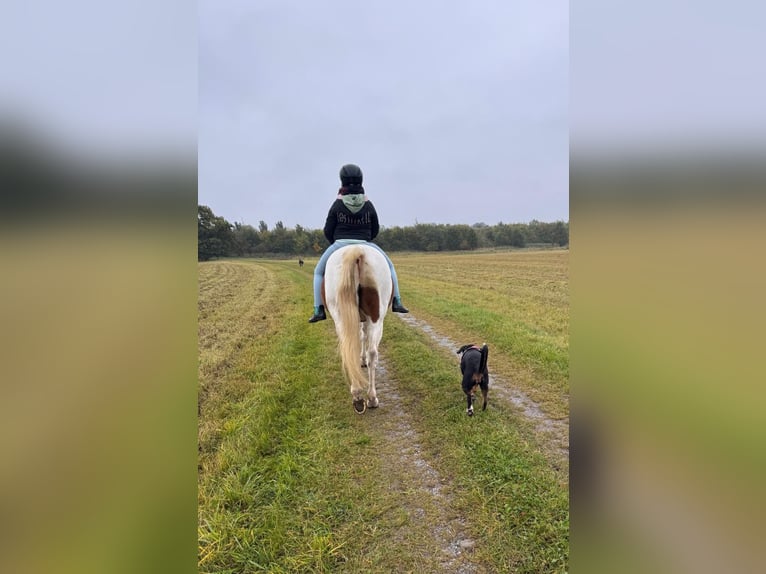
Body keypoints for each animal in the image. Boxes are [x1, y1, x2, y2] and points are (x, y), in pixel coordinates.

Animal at [323, 244, 393, 414]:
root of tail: (357, 251)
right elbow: (363, 337)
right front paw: (363, 360)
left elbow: (361, 337)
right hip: (376, 318)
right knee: (372, 351)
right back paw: (371, 398)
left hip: (341, 318)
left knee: (350, 349)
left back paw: (358, 397)